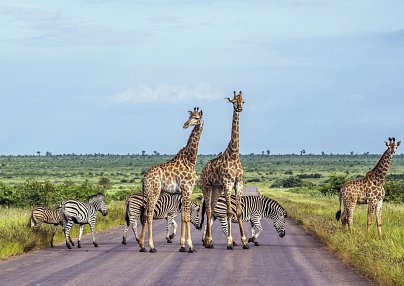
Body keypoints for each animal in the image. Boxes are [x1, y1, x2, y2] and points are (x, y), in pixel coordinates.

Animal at [139, 107, 204, 252]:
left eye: (196, 118)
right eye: (190, 117)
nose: (185, 124)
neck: (191, 159)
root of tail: (144, 178)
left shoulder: (184, 191)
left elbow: (184, 216)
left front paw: (182, 245)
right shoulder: (187, 189)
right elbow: (186, 216)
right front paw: (190, 246)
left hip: (148, 193)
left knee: (145, 214)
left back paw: (142, 245)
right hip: (154, 191)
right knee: (149, 215)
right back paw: (151, 246)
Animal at [200, 92, 249, 250]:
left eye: (243, 101)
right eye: (233, 101)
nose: (239, 108)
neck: (234, 154)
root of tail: (203, 169)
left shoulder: (238, 183)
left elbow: (238, 212)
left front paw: (245, 241)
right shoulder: (228, 183)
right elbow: (229, 212)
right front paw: (229, 242)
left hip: (217, 188)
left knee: (212, 209)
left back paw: (208, 241)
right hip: (207, 186)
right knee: (209, 210)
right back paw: (208, 240)